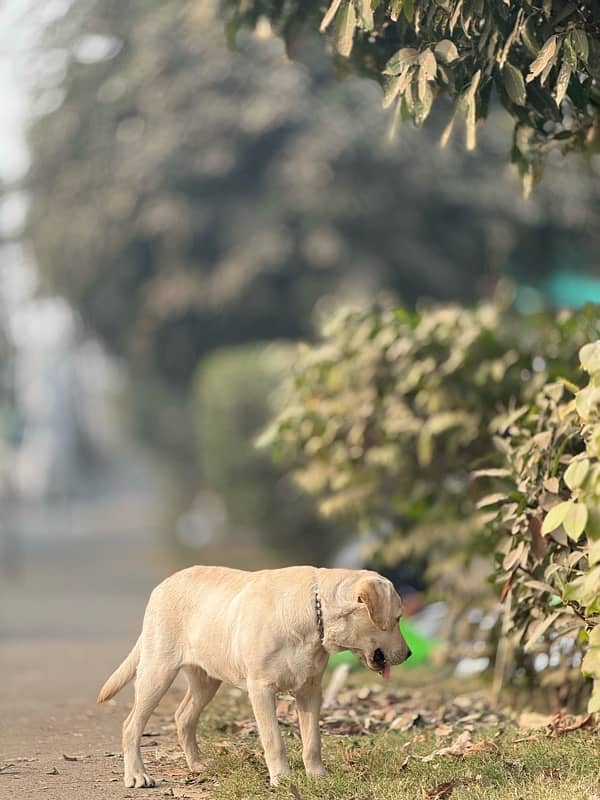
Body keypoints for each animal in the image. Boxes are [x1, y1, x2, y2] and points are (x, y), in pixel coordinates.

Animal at [98, 568, 410, 788]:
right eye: (397, 619)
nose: (408, 654)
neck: (314, 613)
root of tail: (162, 585)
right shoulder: (261, 689)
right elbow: (274, 740)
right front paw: (283, 779)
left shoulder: (310, 690)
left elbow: (313, 741)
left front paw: (318, 776)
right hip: (157, 672)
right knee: (131, 725)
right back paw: (137, 775)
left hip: (207, 680)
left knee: (183, 716)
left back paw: (197, 764)